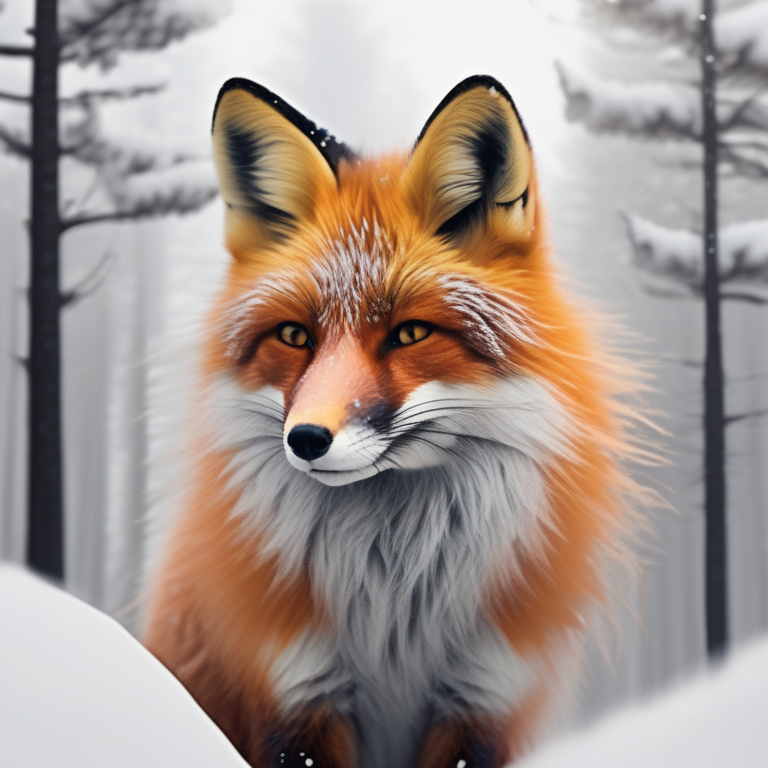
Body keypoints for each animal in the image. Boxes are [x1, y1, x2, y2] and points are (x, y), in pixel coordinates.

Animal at [143, 75, 646, 768]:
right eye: (295, 336)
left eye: (409, 333)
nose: (305, 440)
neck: (393, 610)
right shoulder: (296, 694)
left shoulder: (486, 698)